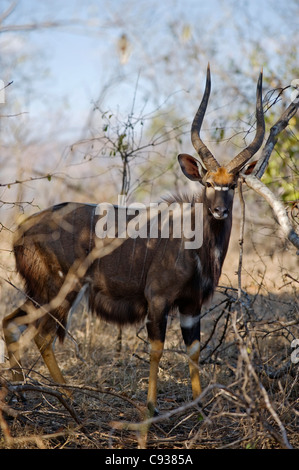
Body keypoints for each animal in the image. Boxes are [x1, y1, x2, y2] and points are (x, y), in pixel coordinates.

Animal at [2, 66, 264, 414]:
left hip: (38, 291)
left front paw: (198, 407)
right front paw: (151, 406)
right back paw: (69, 398)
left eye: (233, 185)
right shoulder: (158, 299)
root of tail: (23, 231)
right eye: (208, 182)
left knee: (10, 322)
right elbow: (157, 348)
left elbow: (194, 350)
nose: (220, 210)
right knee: (41, 336)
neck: (193, 242)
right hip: (60, 290)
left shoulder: (191, 305)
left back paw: (19, 391)